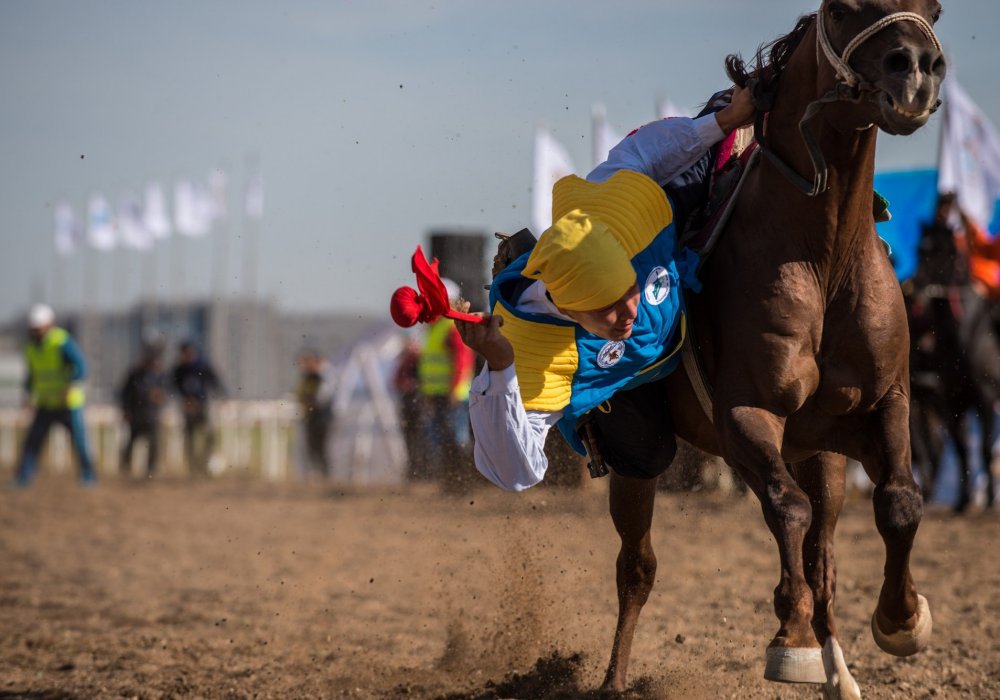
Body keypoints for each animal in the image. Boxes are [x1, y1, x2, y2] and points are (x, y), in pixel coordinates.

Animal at [600, 2, 944, 696]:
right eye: (842, 10)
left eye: (936, 11)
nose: (916, 70)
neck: (823, 259)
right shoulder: (745, 415)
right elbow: (786, 509)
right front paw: (792, 640)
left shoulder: (886, 404)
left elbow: (898, 501)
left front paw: (901, 618)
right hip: (636, 459)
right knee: (637, 567)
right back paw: (615, 678)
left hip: (823, 455)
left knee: (824, 555)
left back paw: (841, 672)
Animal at [908, 194, 1000, 512]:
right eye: (919, 249)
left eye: (944, 252)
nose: (914, 289)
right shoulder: (951, 400)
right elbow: (960, 450)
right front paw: (962, 501)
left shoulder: (985, 396)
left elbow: (983, 449)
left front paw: (987, 502)